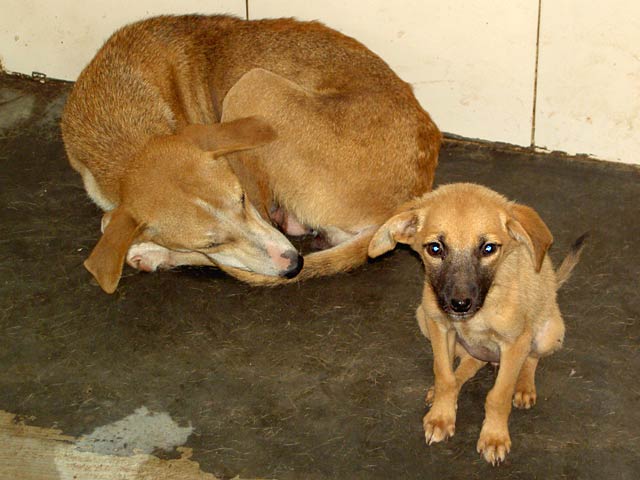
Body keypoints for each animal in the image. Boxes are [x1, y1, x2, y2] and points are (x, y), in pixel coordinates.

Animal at [61, 14, 440, 292]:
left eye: (241, 200)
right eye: (210, 243)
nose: (293, 264)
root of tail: (409, 195)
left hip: (251, 86)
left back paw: (153, 253)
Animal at [368, 184, 588, 464]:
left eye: (489, 248)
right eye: (435, 249)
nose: (460, 304)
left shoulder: (515, 343)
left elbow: (498, 396)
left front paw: (494, 437)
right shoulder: (439, 325)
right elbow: (444, 375)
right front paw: (441, 416)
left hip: (549, 332)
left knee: (531, 358)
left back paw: (524, 387)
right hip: (422, 317)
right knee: (468, 364)